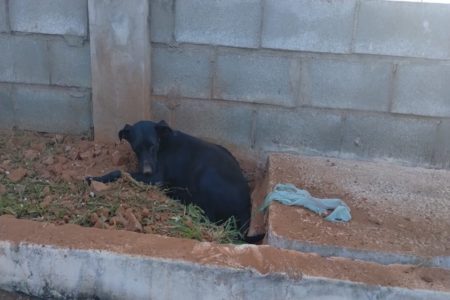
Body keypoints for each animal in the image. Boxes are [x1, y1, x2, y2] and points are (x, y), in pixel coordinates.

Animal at [87, 120, 264, 244]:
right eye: (136, 148)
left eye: (153, 146)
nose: (147, 171)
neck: (163, 142)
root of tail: (246, 208)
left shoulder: (156, 177)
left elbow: (119, 171)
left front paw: (94, 178)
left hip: (206, 177)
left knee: (209, 217)